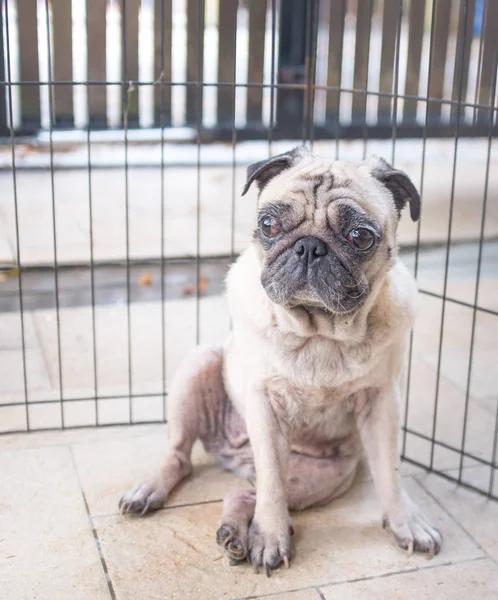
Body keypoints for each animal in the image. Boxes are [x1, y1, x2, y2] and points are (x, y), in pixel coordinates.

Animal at [118, 146, 442, 576]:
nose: (309, 247)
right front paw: (270, 537)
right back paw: (151, 490)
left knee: (242, 495)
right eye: (269, 224)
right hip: (200, 363)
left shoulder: (382, 402)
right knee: (182, 458)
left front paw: (407, 521)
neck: (320, 333)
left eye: (360, 236)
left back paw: (235, 534)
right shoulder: (265, 406)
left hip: (323, 479)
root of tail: (234, 458)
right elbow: (272, 483)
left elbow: (390, 471)